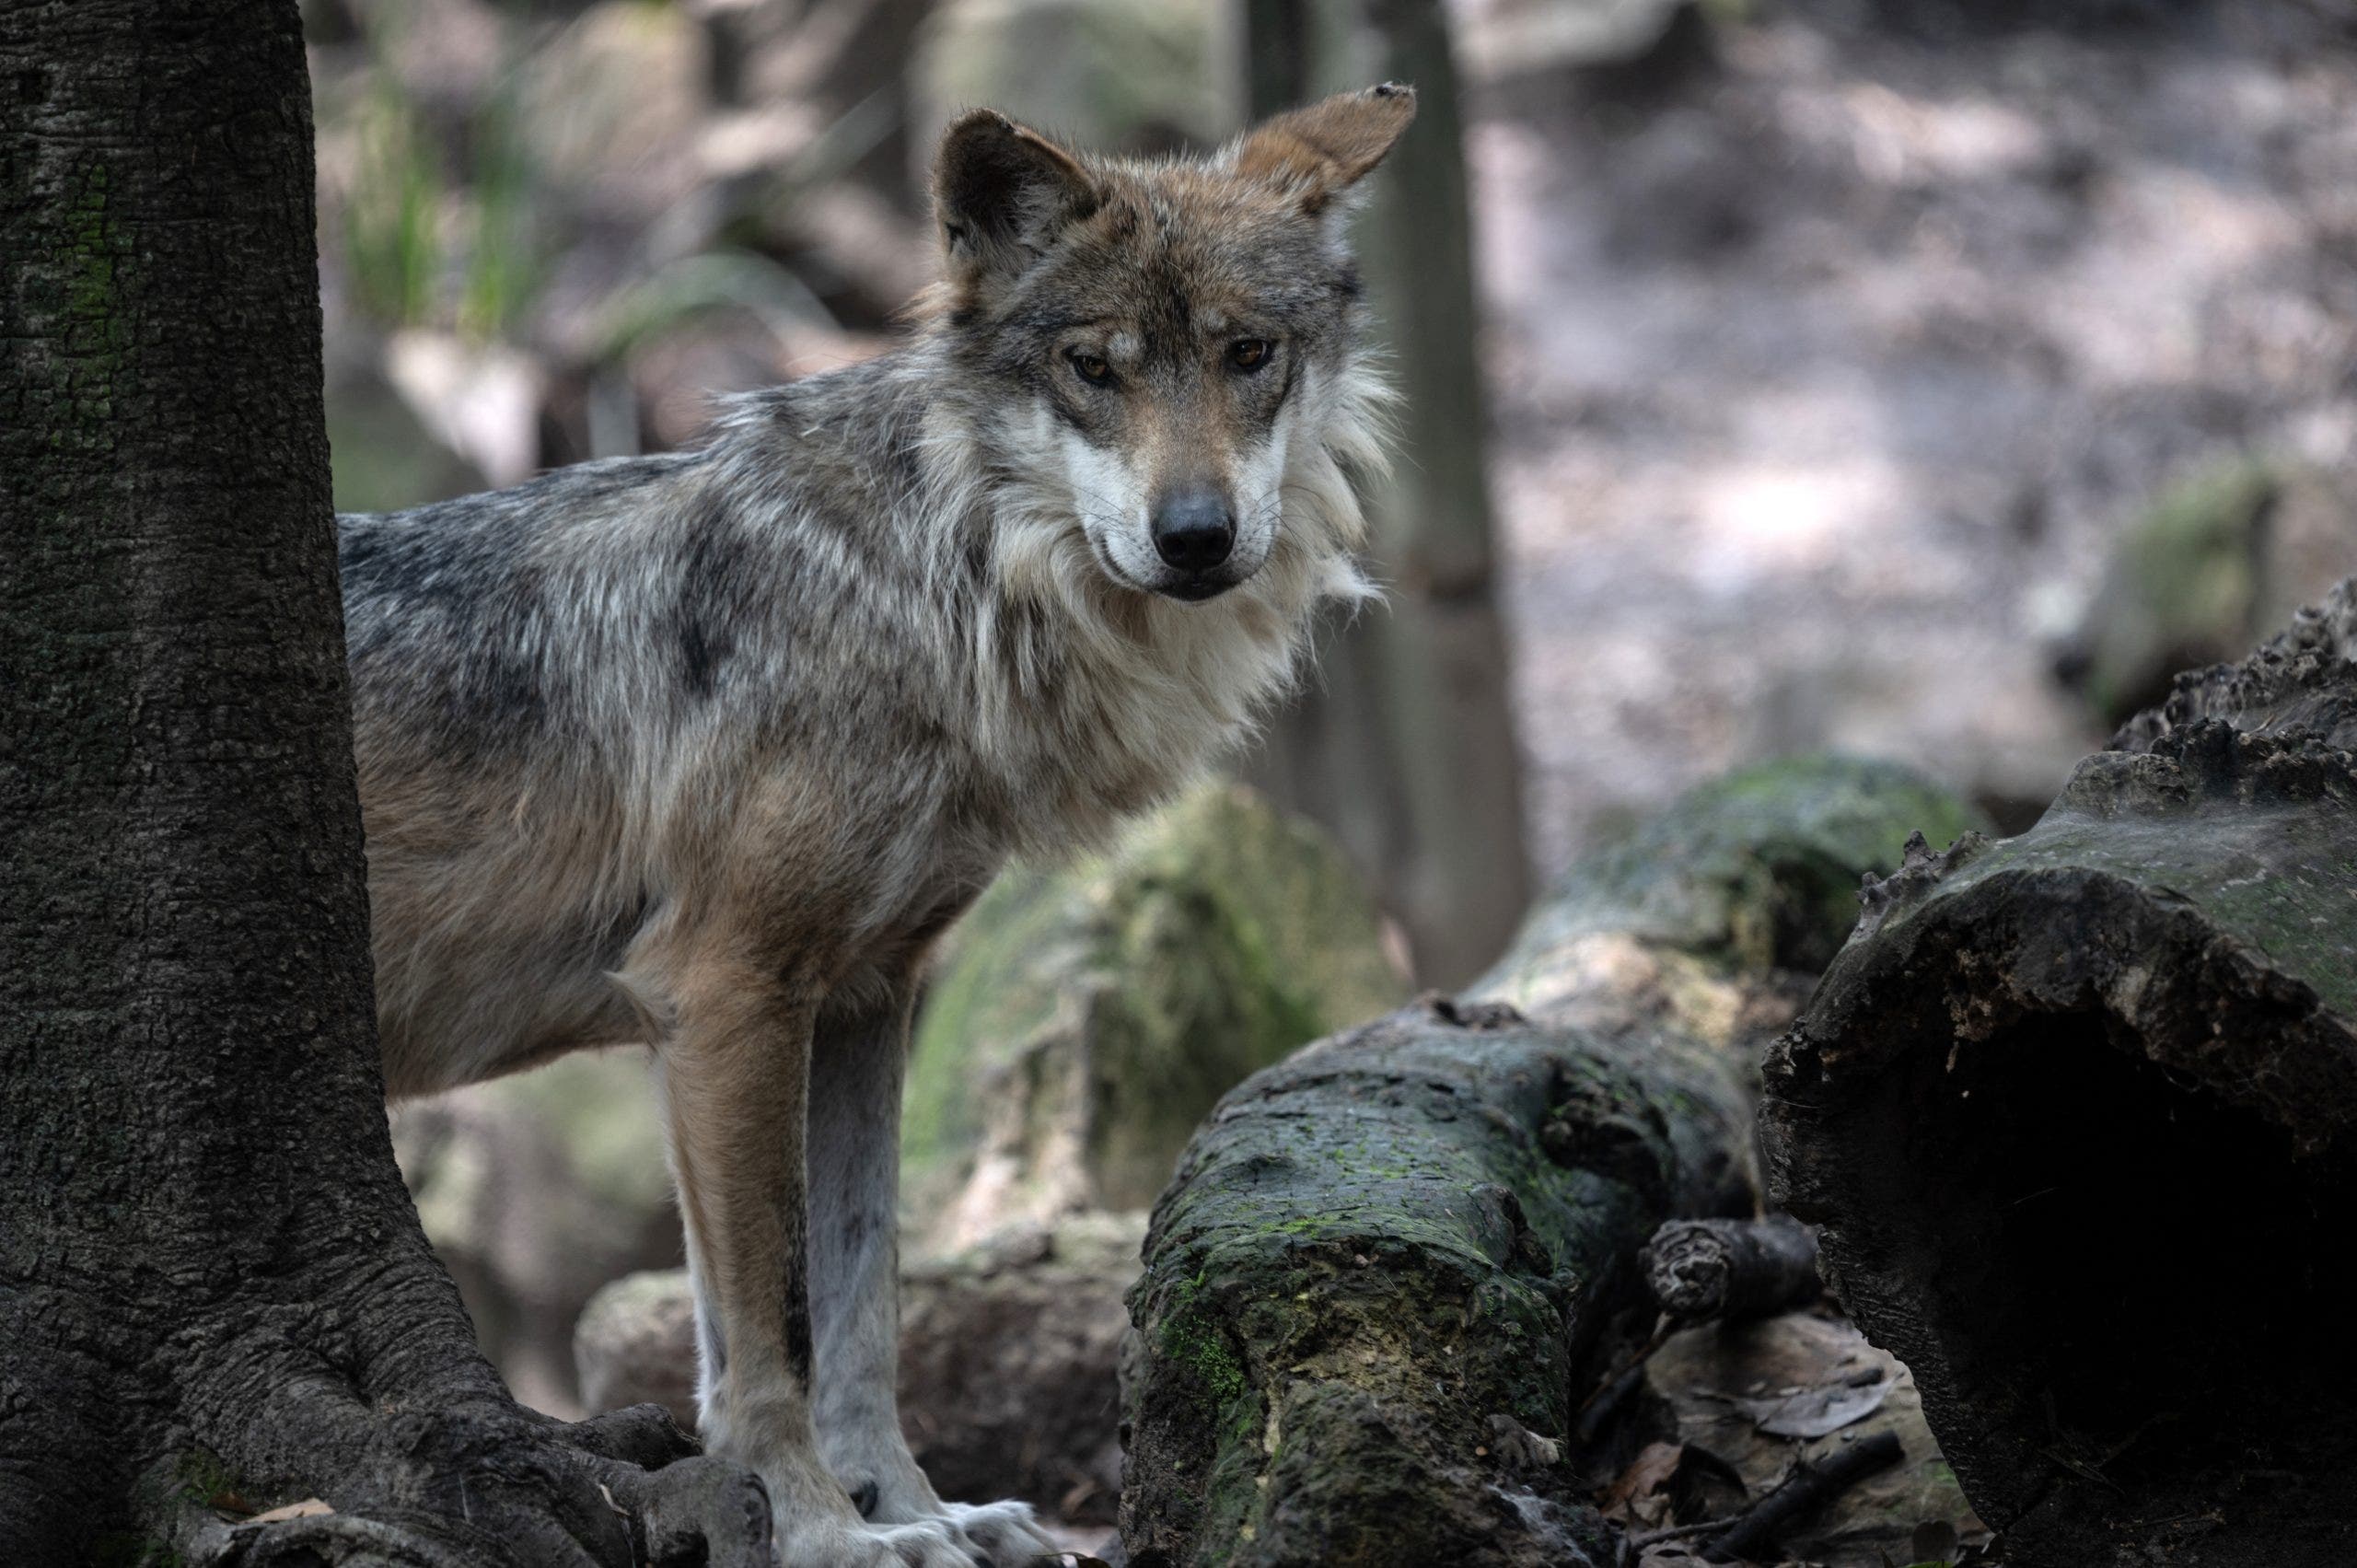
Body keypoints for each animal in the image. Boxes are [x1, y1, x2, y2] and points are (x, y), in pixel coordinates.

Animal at [339, 85, 1415, 1567]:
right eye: (1095, 368)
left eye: (1248, 352)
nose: (1195, 536)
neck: (934, 579)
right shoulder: (725, 992)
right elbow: (768, 1320)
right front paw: (815, 1524)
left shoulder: (864, 992)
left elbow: (862, 1295)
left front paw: (916, 1507)